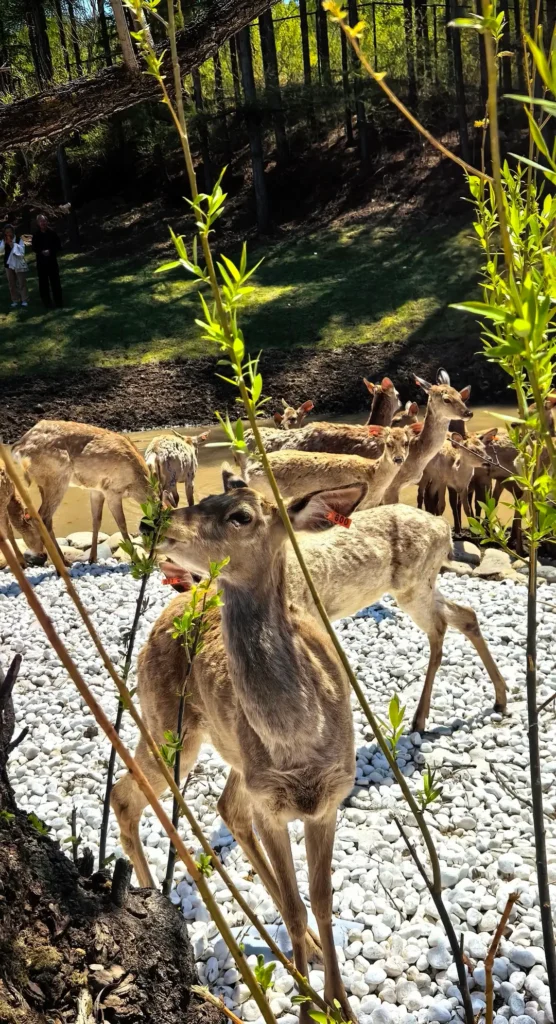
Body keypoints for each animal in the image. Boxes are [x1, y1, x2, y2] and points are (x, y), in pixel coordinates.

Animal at [12, 420, 150, 563]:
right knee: (42, 517)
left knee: (45, 519)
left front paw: (92, 558)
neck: (135, 483)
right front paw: (137, 560)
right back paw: (60, 562)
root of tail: (18, 449)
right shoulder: (113, 491)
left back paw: (62, 559)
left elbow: (96, 521)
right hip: (57, 479)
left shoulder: (96, 490)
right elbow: (122, 523)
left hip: (43, 484)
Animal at [112, 475, 369, 1024]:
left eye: (240, 516)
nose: (152, 520)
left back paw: (309, 949)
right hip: (168, 728)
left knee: (226, 805)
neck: (300, 740)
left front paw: (339, 1004)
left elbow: (321, 899)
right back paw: (149, 896)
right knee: (127, 794)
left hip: (227, 753)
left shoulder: (330, 798)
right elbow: (294, 905)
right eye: (203, 498)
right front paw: (310, 1007)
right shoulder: (273, 802)